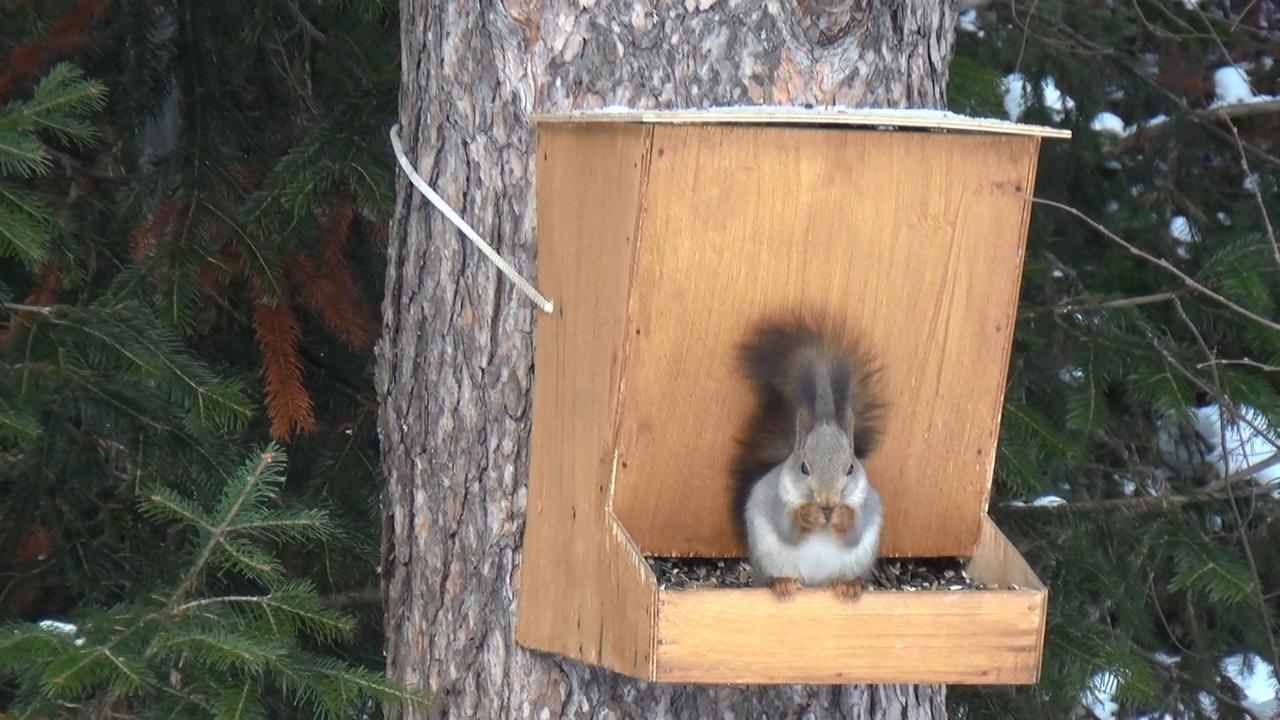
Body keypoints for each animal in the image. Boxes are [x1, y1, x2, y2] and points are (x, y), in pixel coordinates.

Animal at [727, 315, 885, 599]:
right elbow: (788, 529)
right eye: (803, 468)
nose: (827, 501)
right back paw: (782, 582)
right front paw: (809, 514)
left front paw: (842, 516)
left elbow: (853, 533)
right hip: (770, 558)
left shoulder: (867, 506)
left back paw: (849, 585)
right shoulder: (775, 502)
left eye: (850, 468)